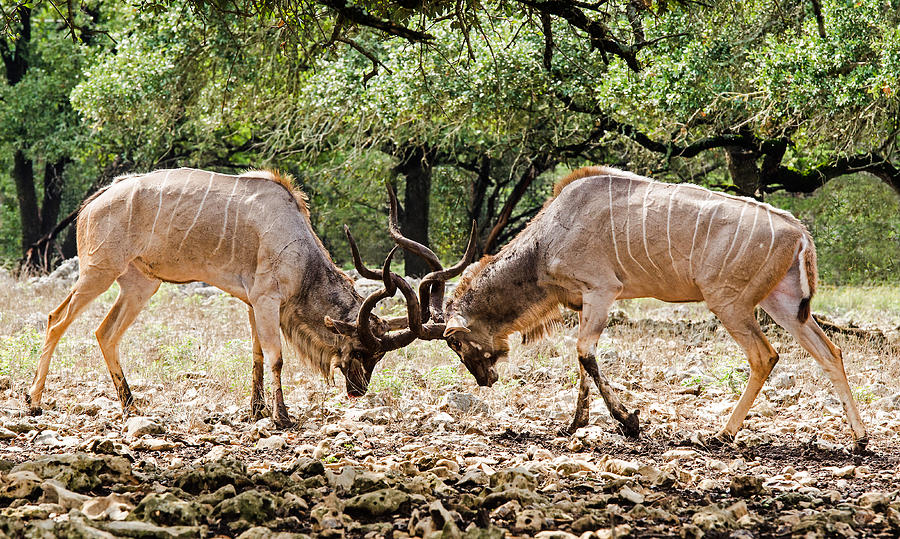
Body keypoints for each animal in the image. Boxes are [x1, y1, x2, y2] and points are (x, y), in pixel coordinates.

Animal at [27, 167, 414, 428]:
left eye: (379, 356)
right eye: (362, 349)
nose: (358, 390)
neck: (297, 246)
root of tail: (93, 203)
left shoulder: (253, 303)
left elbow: (257, 354)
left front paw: (256, 411)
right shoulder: (266, 300)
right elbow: (276, 357)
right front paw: (282, 417)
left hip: (140, 285)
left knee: (106, 332)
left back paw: (131, 407)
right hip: (98, 273)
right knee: (56, 320)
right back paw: (34, 403)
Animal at [390, 167, 868, 454]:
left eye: (454, 342)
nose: (484, 378)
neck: (546, 241)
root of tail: (799, 231)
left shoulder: (602, 293)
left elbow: (585, 354)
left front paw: (630, 422)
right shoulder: (585, 303)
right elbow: (581, 362)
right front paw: (574, 425)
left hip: (729, 304)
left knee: (764, 356)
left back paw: (721, 434)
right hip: (783, 305)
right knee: (831, 353)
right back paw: (860, 441)